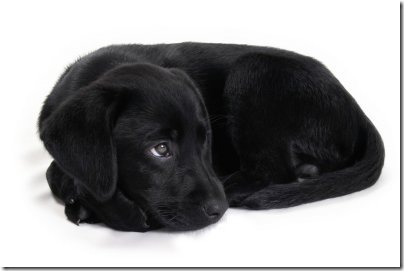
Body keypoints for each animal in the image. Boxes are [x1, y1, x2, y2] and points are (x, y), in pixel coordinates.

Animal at [38, 42, 386, 232]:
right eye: (160, 149)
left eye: (205, 141)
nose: (218, 210)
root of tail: (355, 108)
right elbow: (54, 173)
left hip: (253, 71)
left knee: (273, 170)